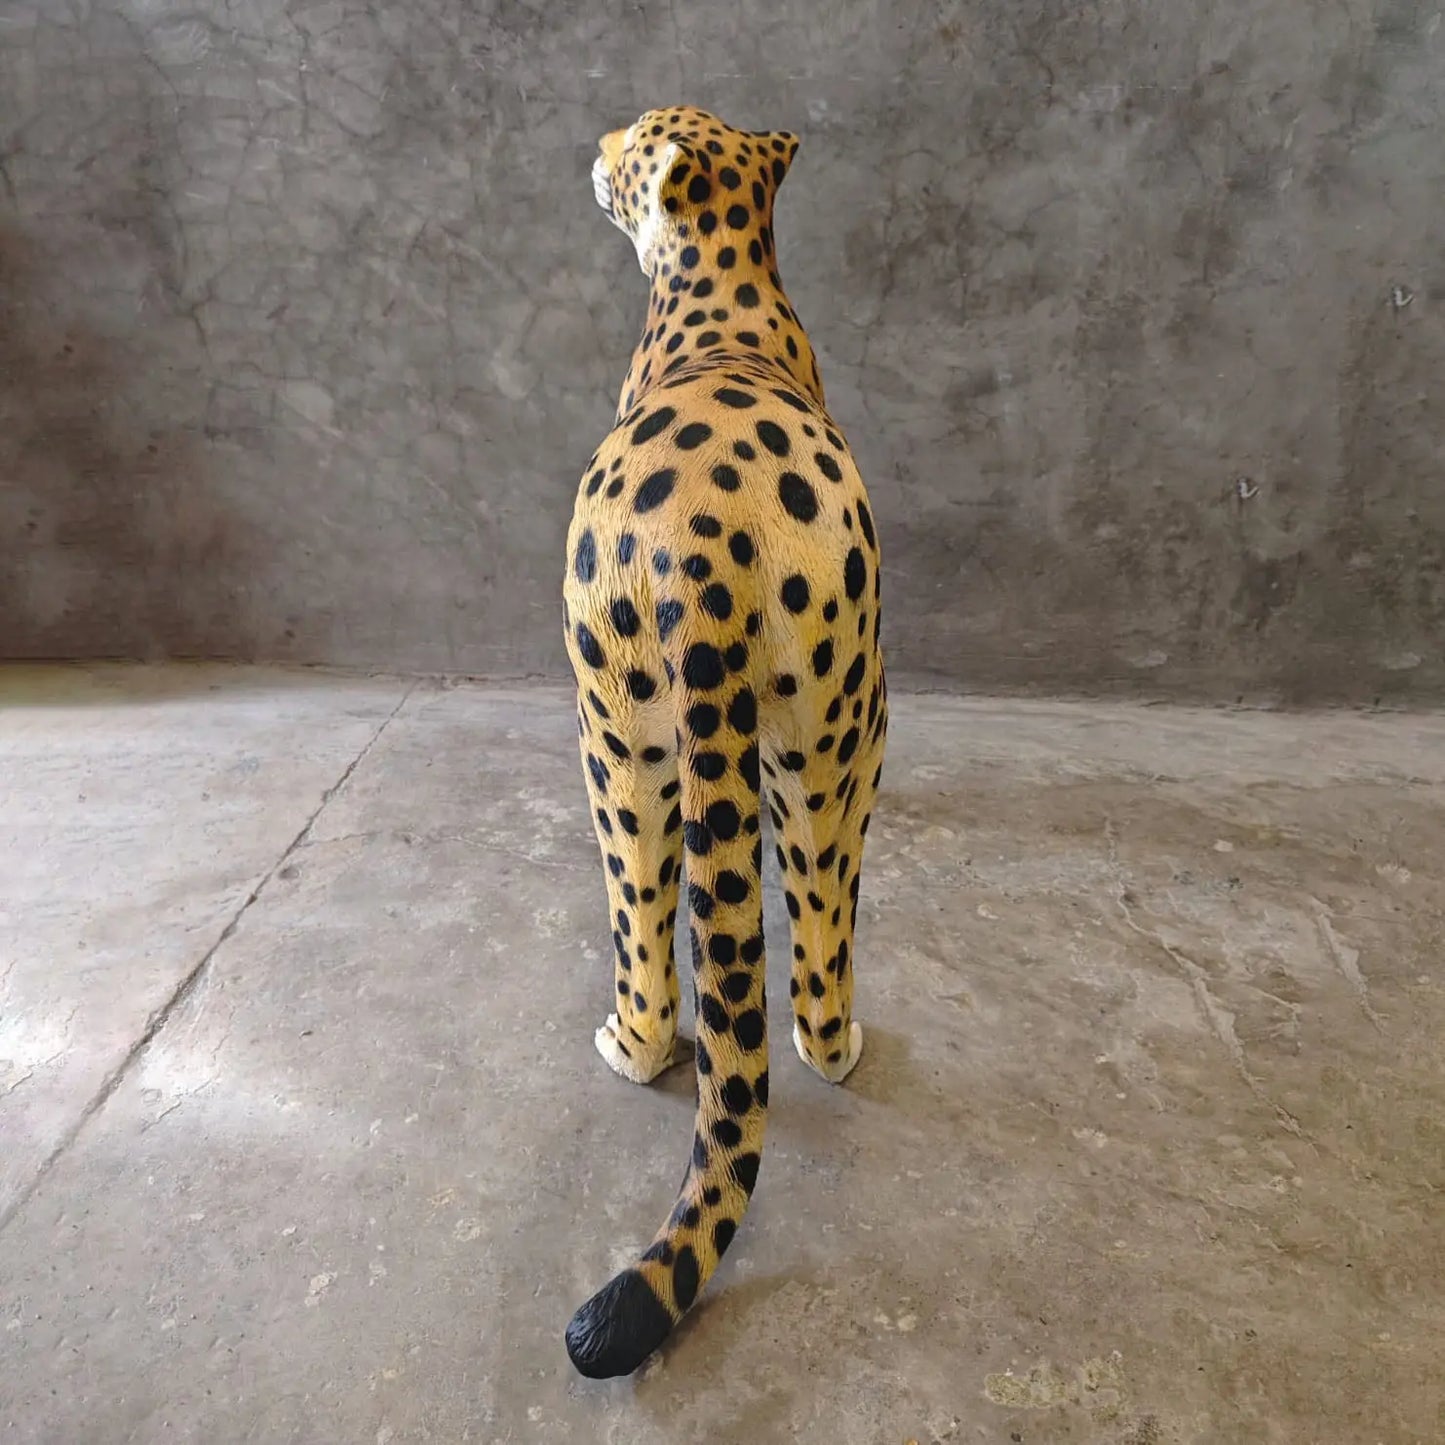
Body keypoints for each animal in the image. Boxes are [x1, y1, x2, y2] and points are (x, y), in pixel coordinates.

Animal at [560, 105, 888, 1379]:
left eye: (629, 141)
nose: (589, 154)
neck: (723, 275)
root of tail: (703, 543)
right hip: (830, 742)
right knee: (815, 938)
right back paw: (833, 1047)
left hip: (617, 745)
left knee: (652, 942)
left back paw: (628, 1043)